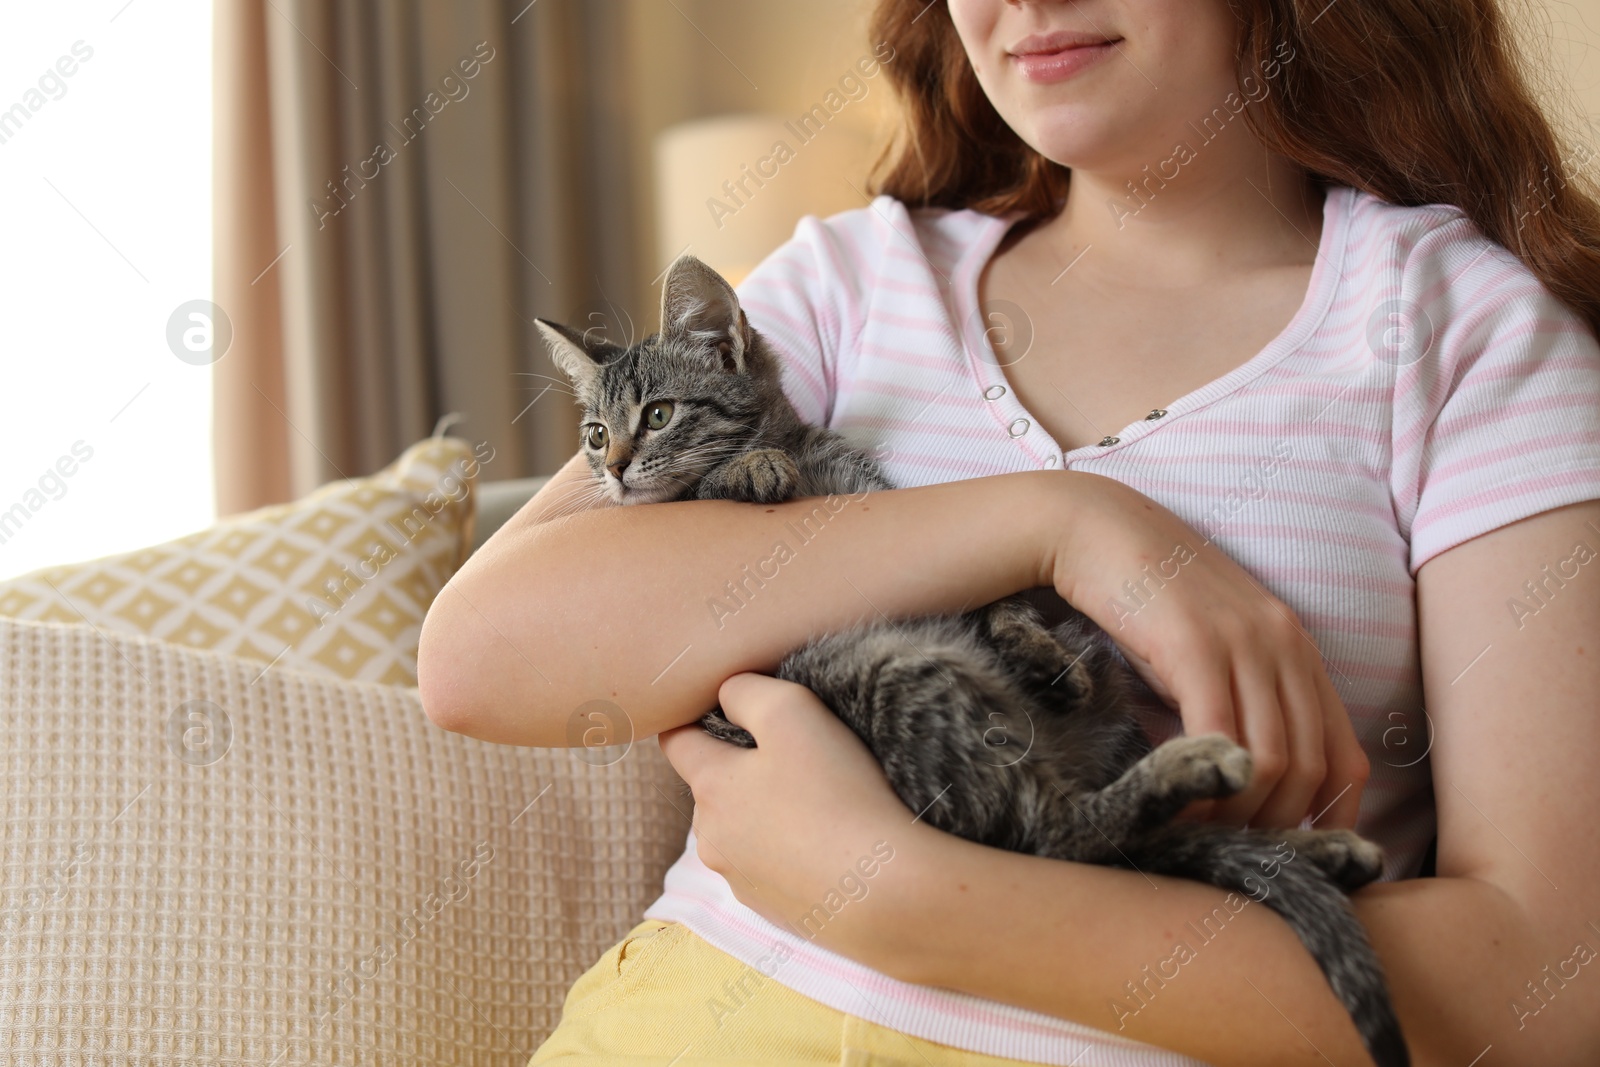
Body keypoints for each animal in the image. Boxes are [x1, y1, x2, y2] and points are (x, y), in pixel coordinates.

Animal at [540, 254, 1414, 1062]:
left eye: (658, 413)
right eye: (596, 433)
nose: (611, 468)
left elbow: (990, 596)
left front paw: (1029, 639)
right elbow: (717, 492)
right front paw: (746, 470)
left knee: (1141, 852)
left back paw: (1308, 844)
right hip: (901, 674)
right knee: (1069, 838)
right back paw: (1201, 777)